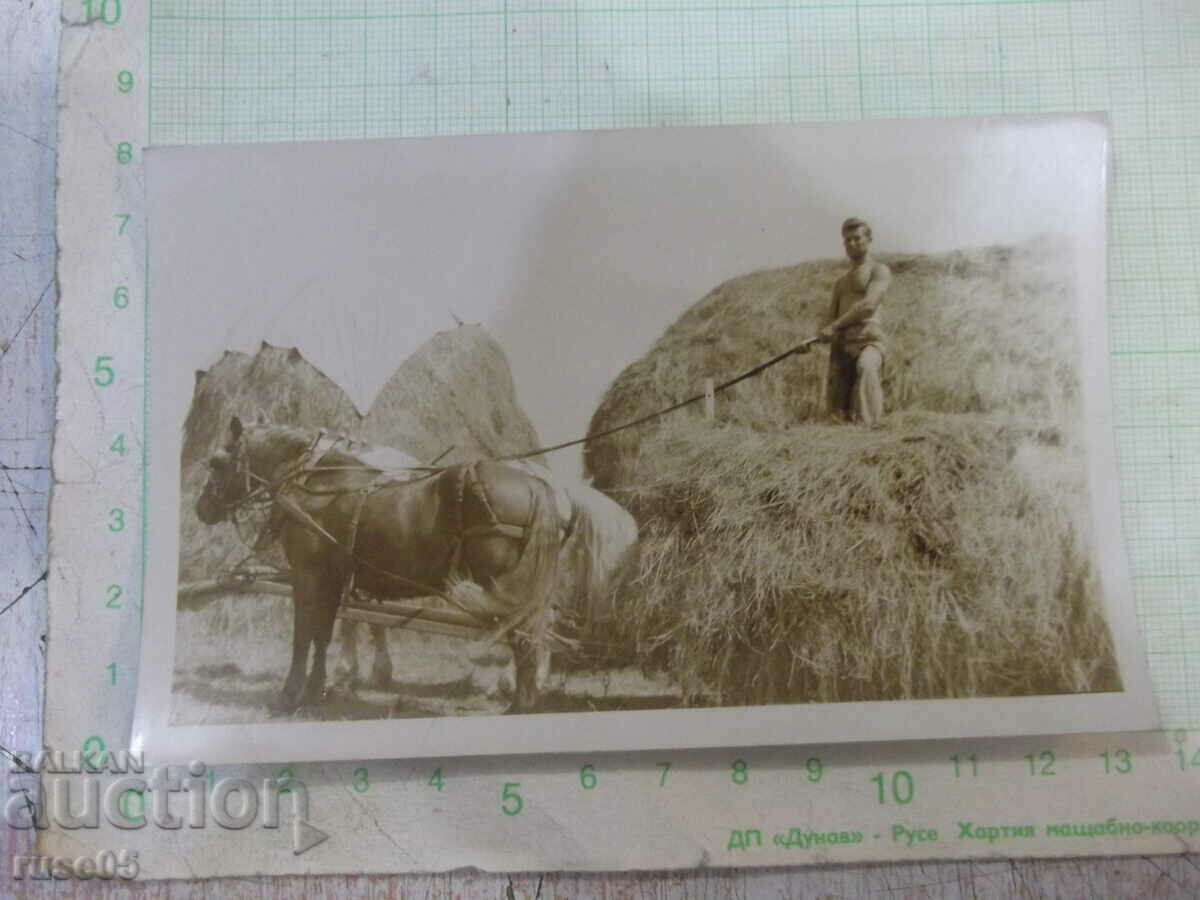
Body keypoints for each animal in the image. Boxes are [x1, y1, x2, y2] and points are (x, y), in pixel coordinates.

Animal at [199, 417, 564, 720]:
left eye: (216, 462)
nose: (200, 507)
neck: (319, 485)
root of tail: (536, 486)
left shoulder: (308, 575)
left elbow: (302, 636)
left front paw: (289, 696)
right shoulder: (332, 578)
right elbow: (322, 635)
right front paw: (316, 692)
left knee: (525, 643)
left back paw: (518, 706)